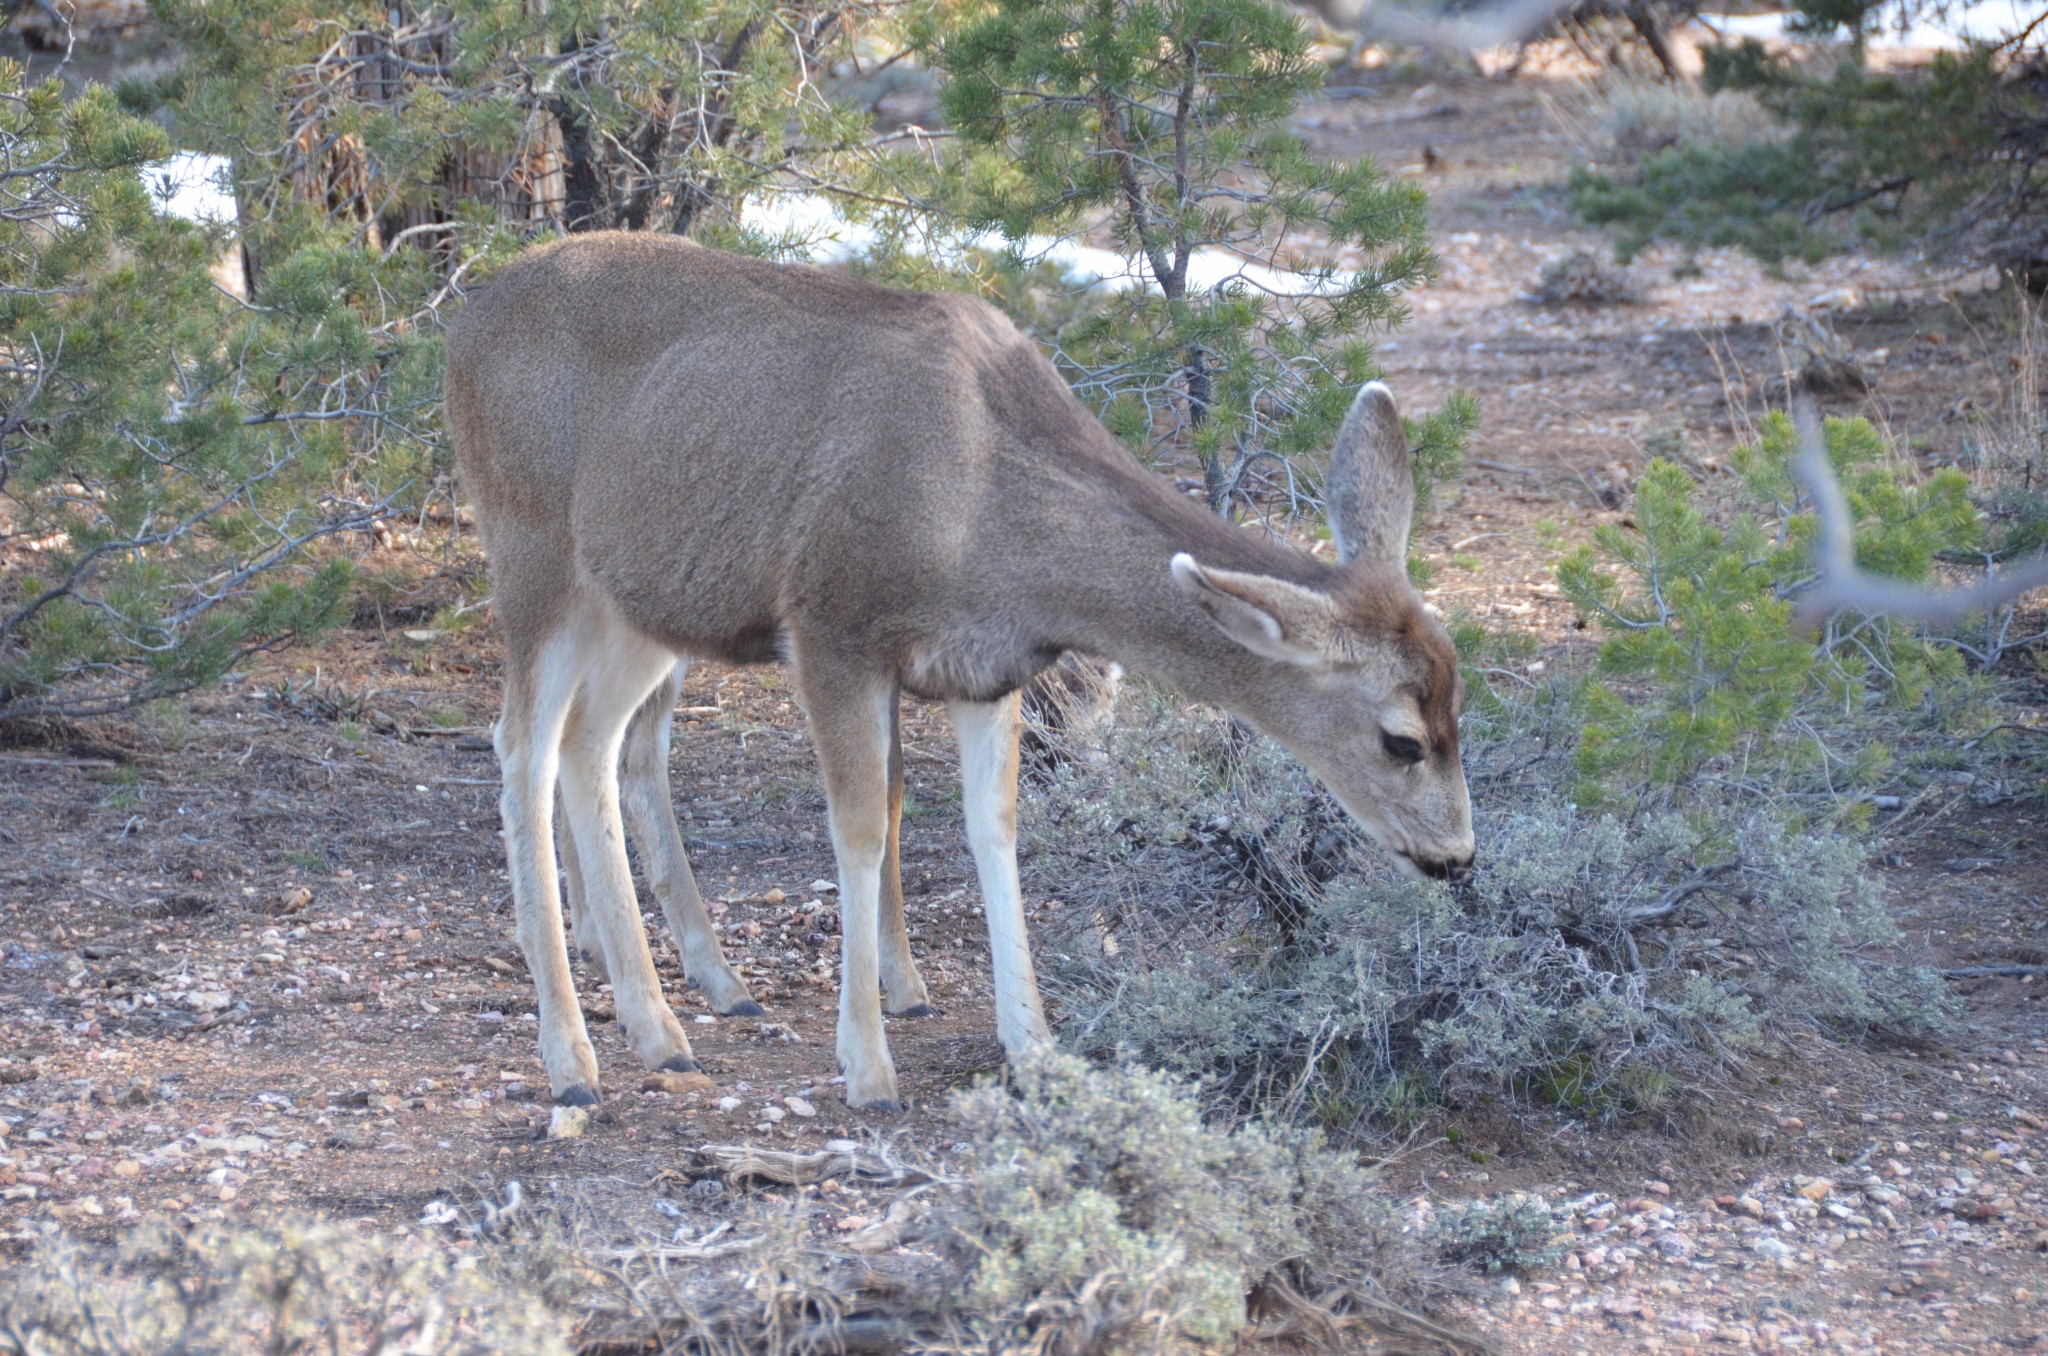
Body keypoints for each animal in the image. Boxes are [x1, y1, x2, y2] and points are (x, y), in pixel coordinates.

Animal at [448, 233, 1474, 1114]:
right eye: (1401, 739)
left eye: (1462, 703)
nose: (1458, 856)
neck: (987, 514)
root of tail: (462, 326)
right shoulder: (833, 623)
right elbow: (861, 831)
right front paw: (867, 1065)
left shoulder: (989, 669)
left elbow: (995, 830)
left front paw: (1035, 1045)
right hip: (533, 549)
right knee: (522, 748)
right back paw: (572, 1056)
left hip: (643, 598)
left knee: (590, 743)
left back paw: (660, 1026)